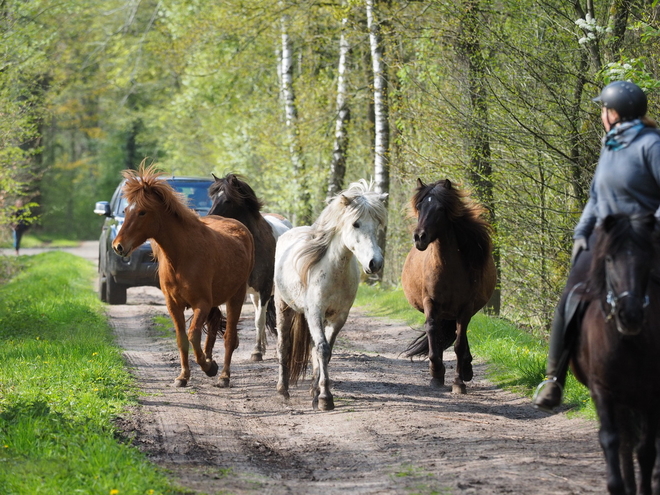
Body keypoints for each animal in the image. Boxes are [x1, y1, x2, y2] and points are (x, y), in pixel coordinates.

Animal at [113, 167, 253, 392]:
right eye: (126, 211)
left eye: (142, 212)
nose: (118, 246)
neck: (182, 256)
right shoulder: (174, 305)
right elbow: (182, 339)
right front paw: (183, 376)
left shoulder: (201, 304)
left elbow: (193, 335)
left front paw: (208, 367)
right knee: (214, 326)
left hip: (236, 297)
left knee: (229, 337)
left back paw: (223, 376)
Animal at [209, 172, 292, 362]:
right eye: (212, 197)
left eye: (227, 200)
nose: (210, 219)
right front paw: (254, 349)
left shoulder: (265, 289)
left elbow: (260, 320)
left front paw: (256, 352)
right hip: (254, 294)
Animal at [398, 179, 496, 396]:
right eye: (419, 206)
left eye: (441, 209)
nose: (420, 237)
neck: (449, 270)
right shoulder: (431, 303)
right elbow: (433, 332)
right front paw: (436, 375)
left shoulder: (465, 308)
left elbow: (459, 344)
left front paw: (459, 382)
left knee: (461, 336)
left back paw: (466, 369)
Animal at [572, 214, 660, 495]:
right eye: (609, 259)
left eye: (648, 258)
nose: (629, 314)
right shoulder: (603, 391)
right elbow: (612, 440)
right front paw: (617, 486)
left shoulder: (652, 395)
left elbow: (646, 449)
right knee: (625, 441)